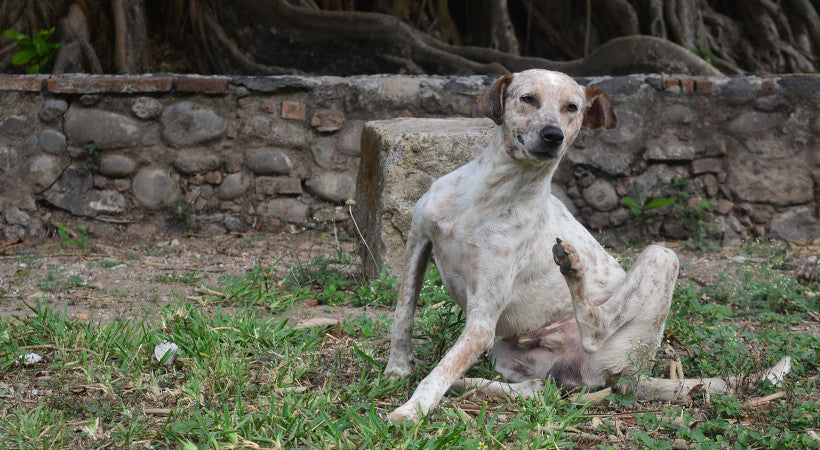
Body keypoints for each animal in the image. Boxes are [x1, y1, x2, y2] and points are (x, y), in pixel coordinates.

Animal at [384, 69, 788, 422]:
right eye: (528, 99)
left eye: (571, 107)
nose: (552, 135)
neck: (490, 194)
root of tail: (633, 373)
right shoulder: (418, 241)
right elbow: (403, 316)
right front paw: (396, 370)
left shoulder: (482, 324)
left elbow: (440, 370)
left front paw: (412, 410)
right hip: (508, 355)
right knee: (537, 390)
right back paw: (472, 385)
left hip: (661, 257)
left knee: (595, 328)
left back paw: (573, 269)